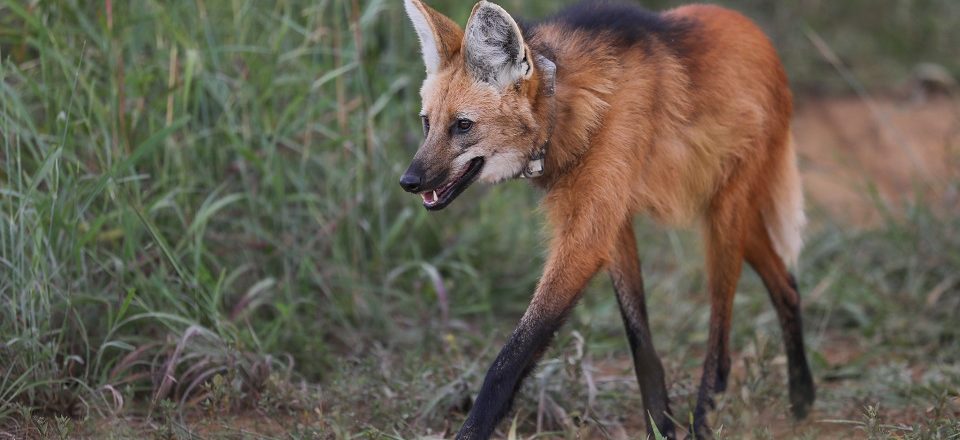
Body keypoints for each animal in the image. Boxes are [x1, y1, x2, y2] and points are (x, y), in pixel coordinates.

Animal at [400, 1, 816, 438]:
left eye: (462, 126)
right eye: (427, 122)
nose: (409, 181)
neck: (571, 108)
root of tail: (760, 37)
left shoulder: (588, 234)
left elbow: (510, 357)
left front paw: (472, 428)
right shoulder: (611, 221)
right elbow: (640, 343)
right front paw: (660, 425)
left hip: (724, 216)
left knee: (721, 337)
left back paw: (707, 416)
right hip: (728, 212)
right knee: (787, 284)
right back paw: (802, 397)